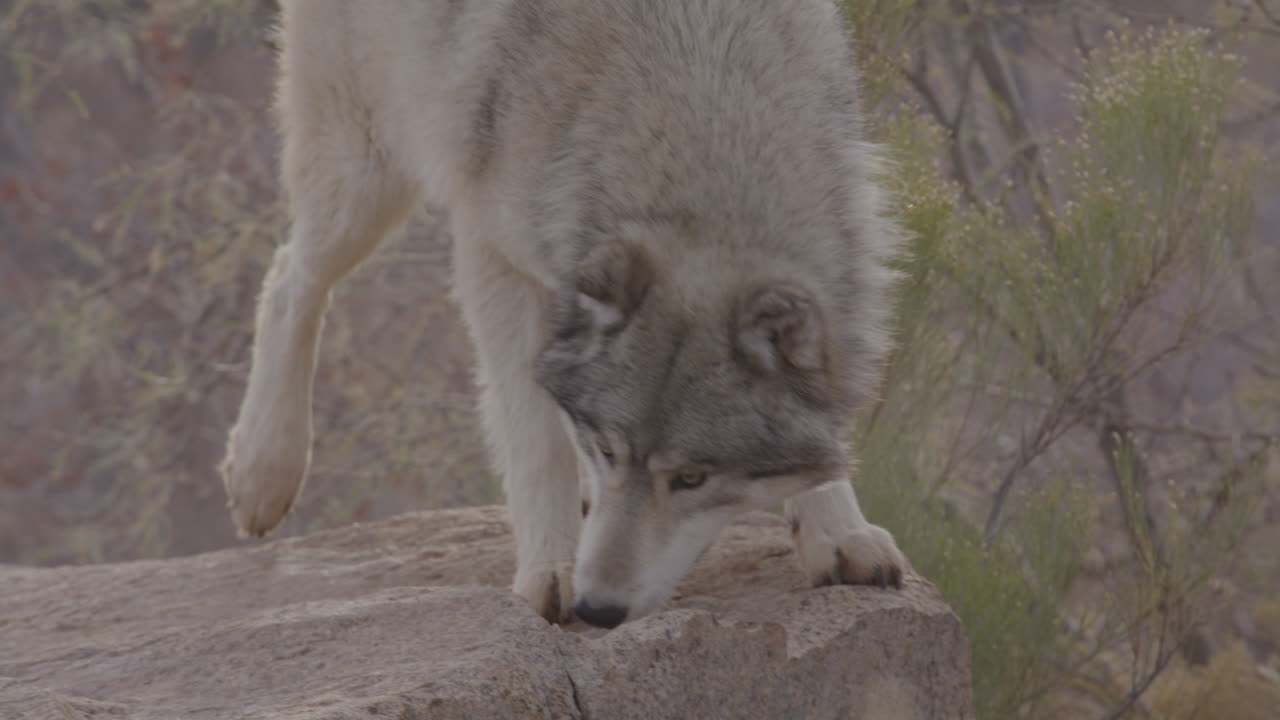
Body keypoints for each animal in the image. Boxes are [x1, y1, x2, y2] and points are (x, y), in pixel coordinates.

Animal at [220, 0, 908, 629]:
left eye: (692, 479)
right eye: (608, 449)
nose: (598, 609)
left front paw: (841, 536)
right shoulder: (494, 257)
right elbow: (533, 437)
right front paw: (550, 569)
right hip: (364, 175)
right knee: (289, 276)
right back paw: (262, 471)